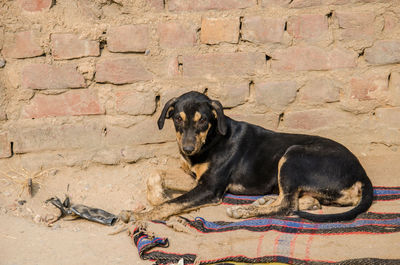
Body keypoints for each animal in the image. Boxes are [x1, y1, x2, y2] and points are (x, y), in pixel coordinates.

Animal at [134, 91, 372, 221]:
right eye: (177, 119)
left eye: (203, 120)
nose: (188, 149)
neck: (211, 140)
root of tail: (361, 172)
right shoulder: (194, 178)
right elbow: (155, 174)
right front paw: (159, 196)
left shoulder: (210, 188)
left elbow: (173, 204)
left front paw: (142, 216)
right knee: (302, 200)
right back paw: (265, 201)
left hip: (293, 155)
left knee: (287, 206)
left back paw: (243, 211)